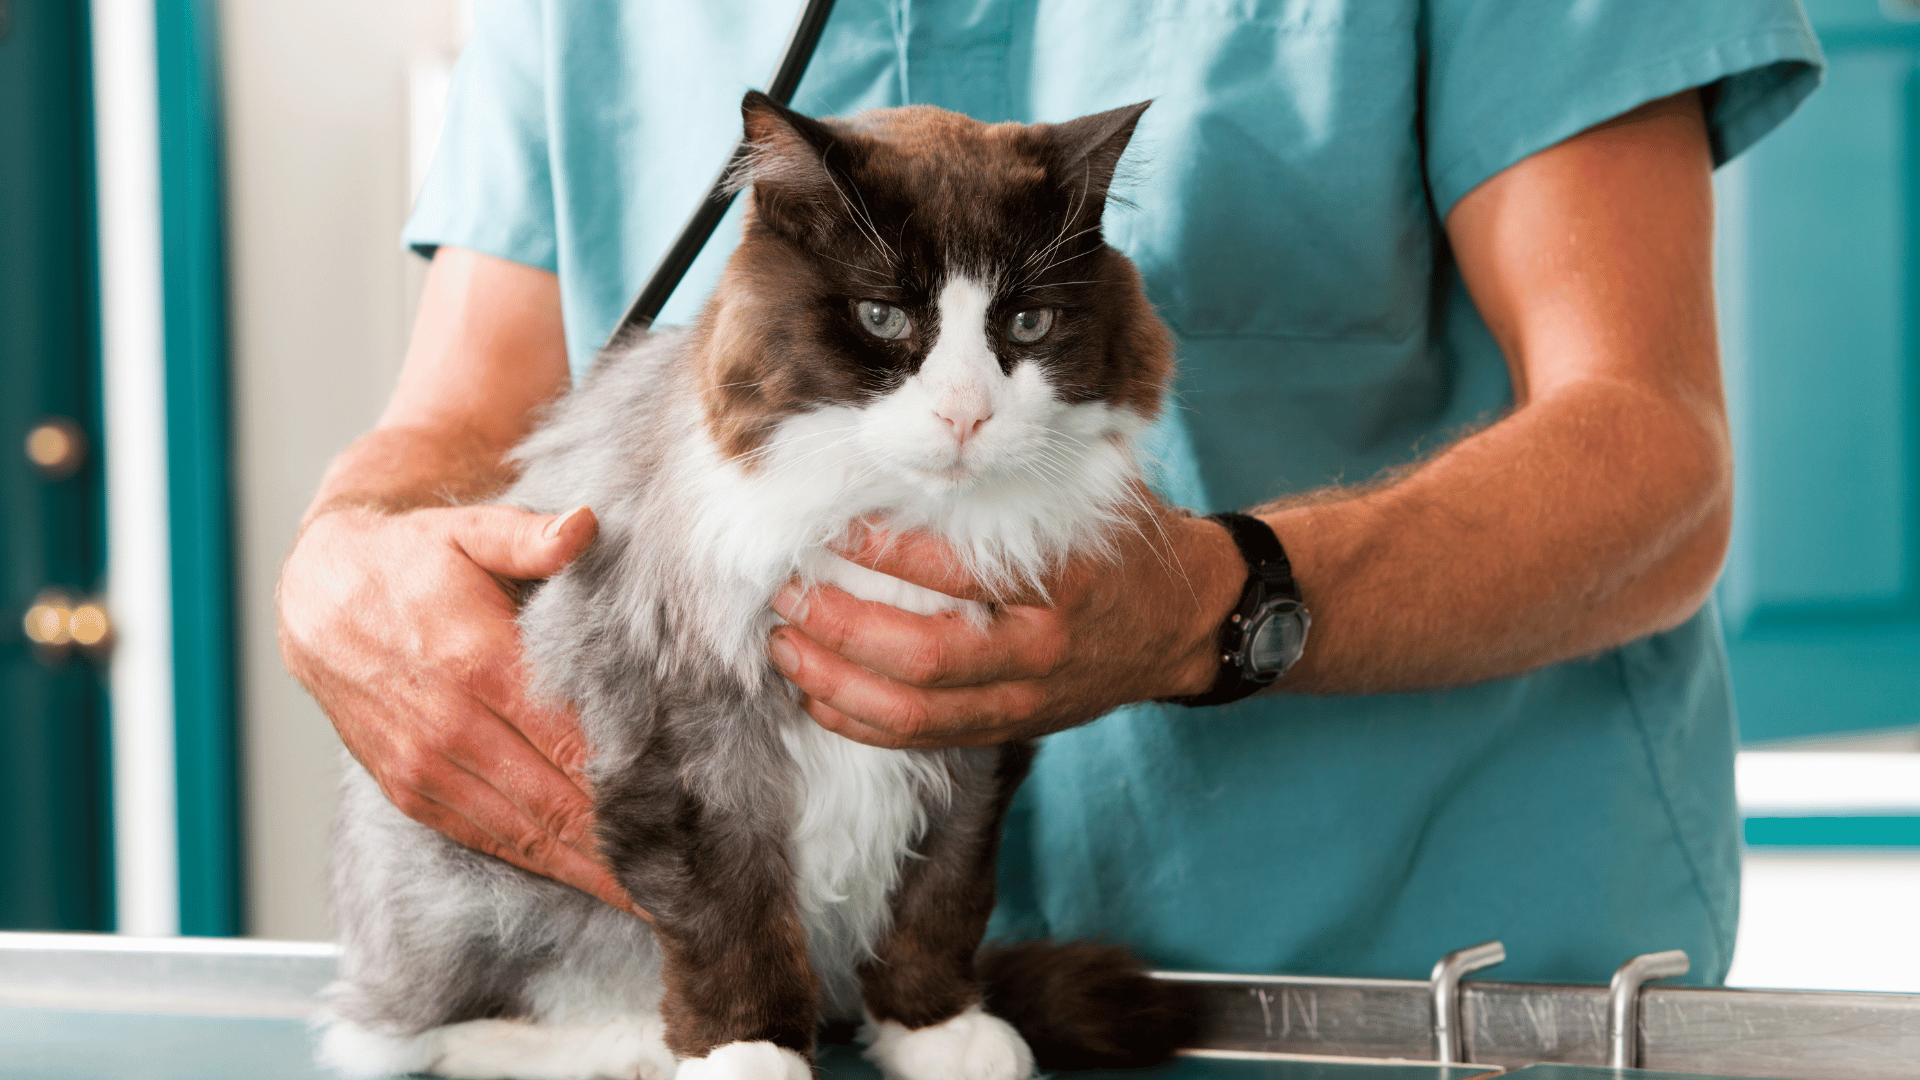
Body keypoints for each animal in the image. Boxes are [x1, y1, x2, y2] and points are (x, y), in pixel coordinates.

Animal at [316, 90, 1190, 1076]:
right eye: (882, 319)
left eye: (1028, 326)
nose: (965, 415)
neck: (898, 519)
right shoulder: (688, 738)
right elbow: (732, 919)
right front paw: (751, 1050)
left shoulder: (976, 739)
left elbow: (940, 900)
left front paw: (936, 1029)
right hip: (466, 889)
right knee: (410, 1030)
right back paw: (621, 1044)